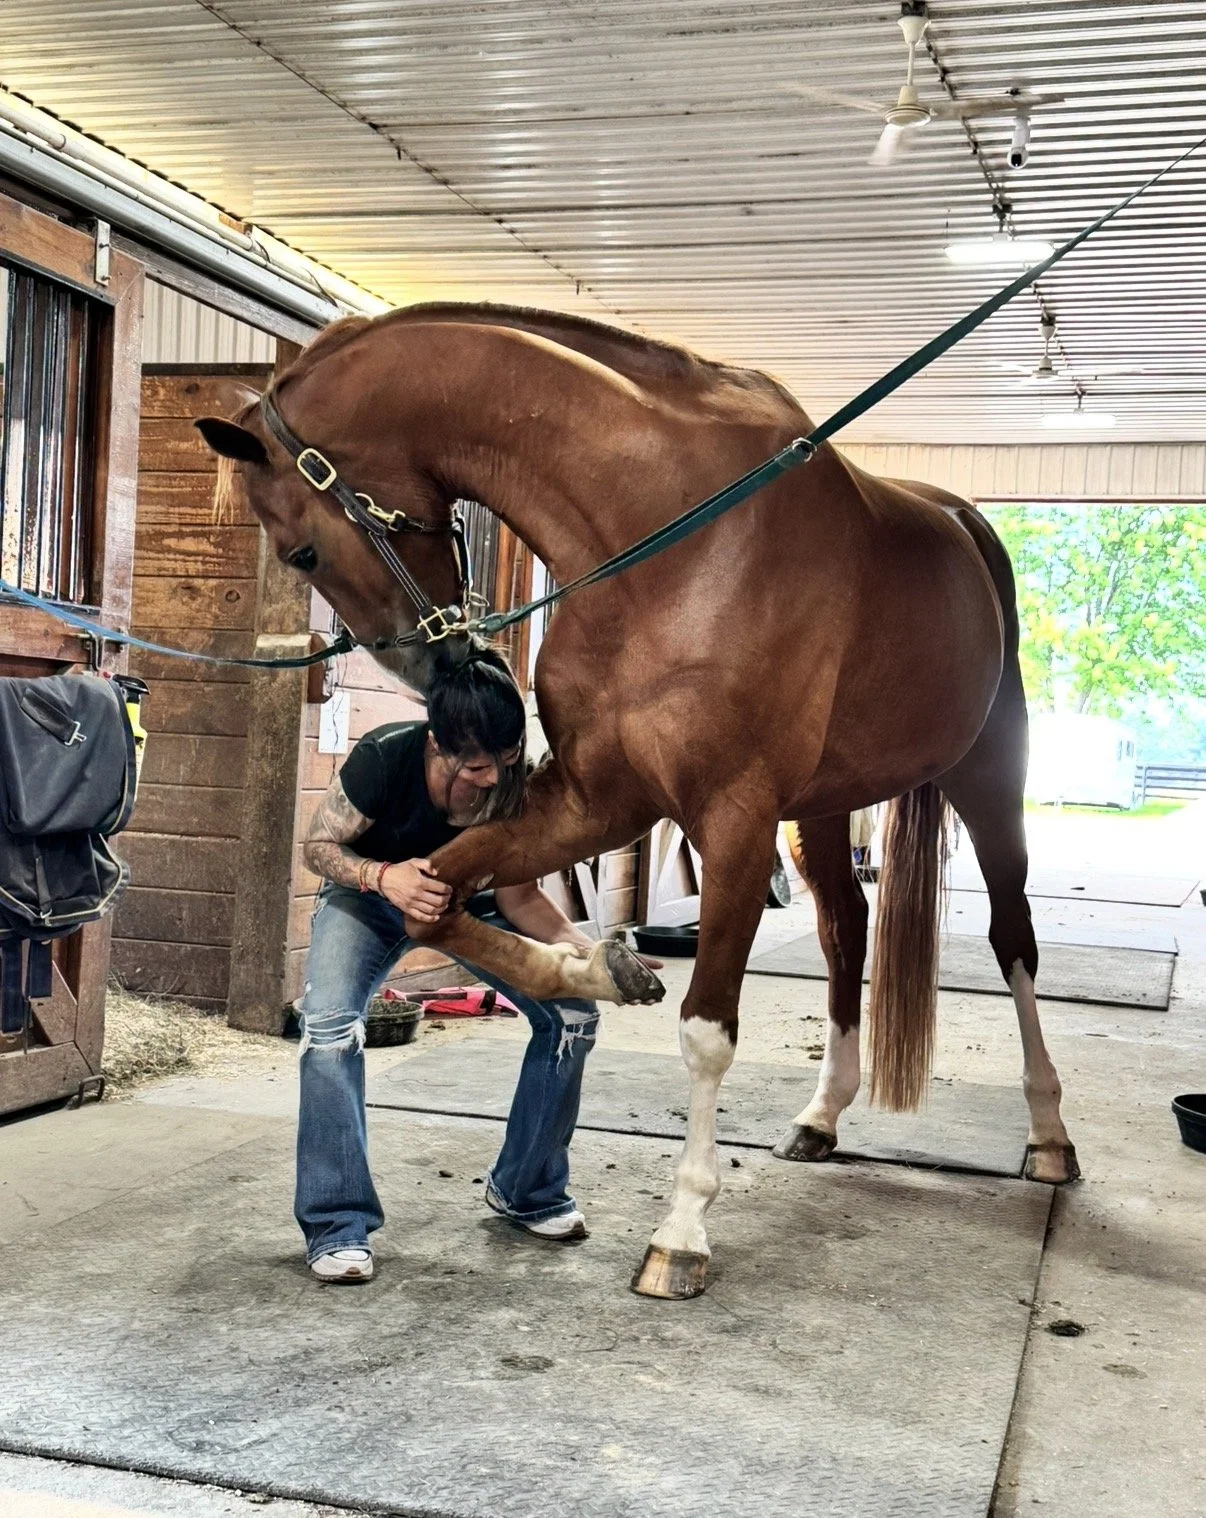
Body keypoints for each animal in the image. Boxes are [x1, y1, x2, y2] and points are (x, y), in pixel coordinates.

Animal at [197, 302, 1079, 1301]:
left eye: (301, 547)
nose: (442, 668)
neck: (668, 534)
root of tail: (966, 526)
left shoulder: (733, 817)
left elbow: (706, 1033)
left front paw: (681, 1232)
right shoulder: (594, 800)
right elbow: (435, 896)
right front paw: (598, 968)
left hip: (986, 780)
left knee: (1013, 941)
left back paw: (1050, 1134)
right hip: (822, 807)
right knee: (845, 930)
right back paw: (821, 1117)